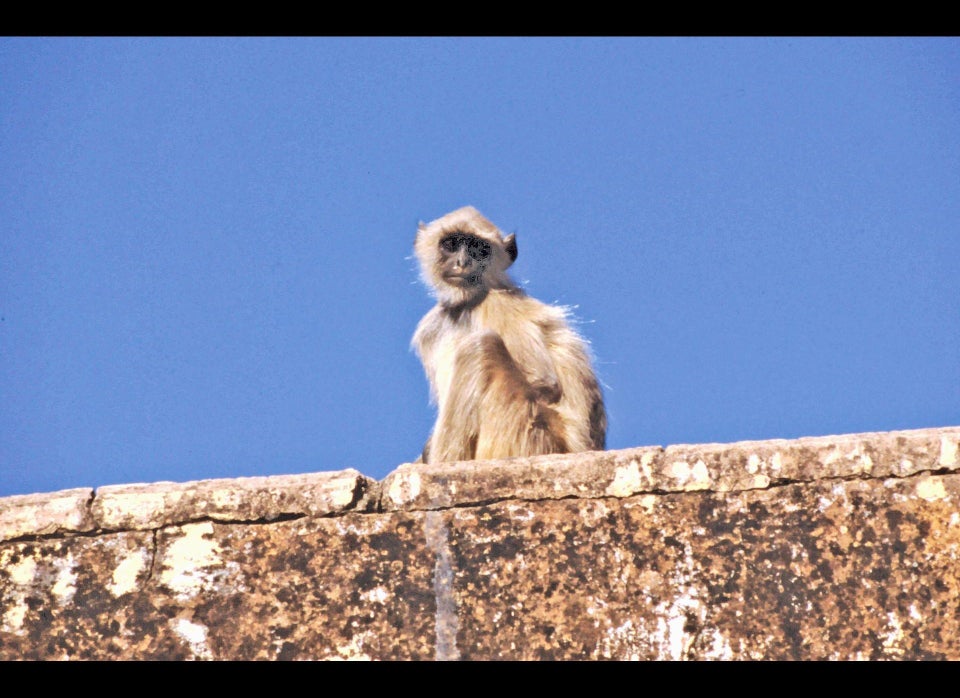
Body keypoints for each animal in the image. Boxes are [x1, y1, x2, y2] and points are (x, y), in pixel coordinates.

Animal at [408, 205, 604, 462]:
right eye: (450, 244)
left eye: (479, 249)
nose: (462, 262)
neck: (466, 306)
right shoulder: (430, 327)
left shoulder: (497, 303)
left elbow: (544, 381)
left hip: (529, 432)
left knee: (480, 347)